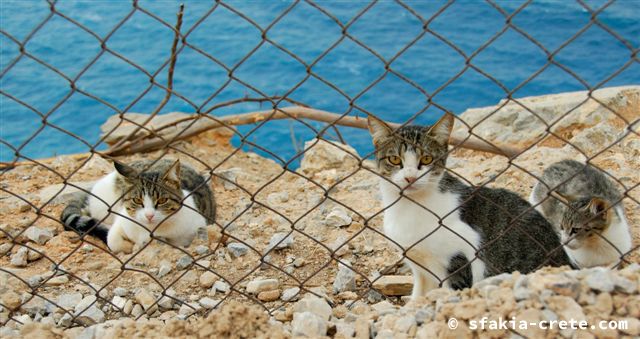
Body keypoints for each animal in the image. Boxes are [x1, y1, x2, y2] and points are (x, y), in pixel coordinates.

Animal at [368, 113, 572, 298]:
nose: (410, 178)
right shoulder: (418, 265)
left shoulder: (460, 257)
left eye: (426, 159)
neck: (410, 207)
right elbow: (418, 296)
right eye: (395, 159)